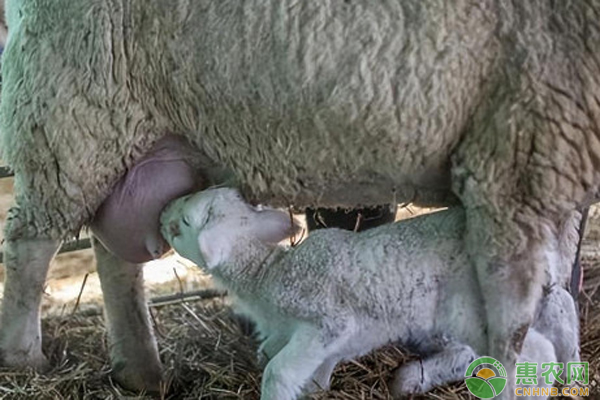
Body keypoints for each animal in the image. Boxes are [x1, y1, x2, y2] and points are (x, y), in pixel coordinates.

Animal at [161, 188, 580, 400]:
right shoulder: (331, 341)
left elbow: (277, 372)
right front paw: (316, 390)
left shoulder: (328, 320)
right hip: (534, 287)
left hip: (471, 309)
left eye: (183, 223)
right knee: (562, 309)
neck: (267, 274)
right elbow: (317, 373)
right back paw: (573, 374)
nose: (162, 213)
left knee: (532, 351)